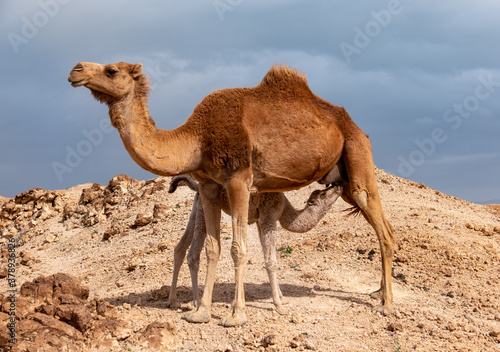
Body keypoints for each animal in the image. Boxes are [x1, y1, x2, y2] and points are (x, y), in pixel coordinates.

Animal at [166, 175, 342, 314]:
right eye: (324, 193)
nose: (338, 185)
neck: (285, 209)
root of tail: (196, 186)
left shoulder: (259, 221)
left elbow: (268, 256)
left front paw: (282, 298)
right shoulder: (268, 217)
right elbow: (271, 261)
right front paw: (279, 306)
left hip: (196, 208)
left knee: (180, 248)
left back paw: (173, 301)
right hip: (204, 208)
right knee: (193, 254)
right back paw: (197, 303)